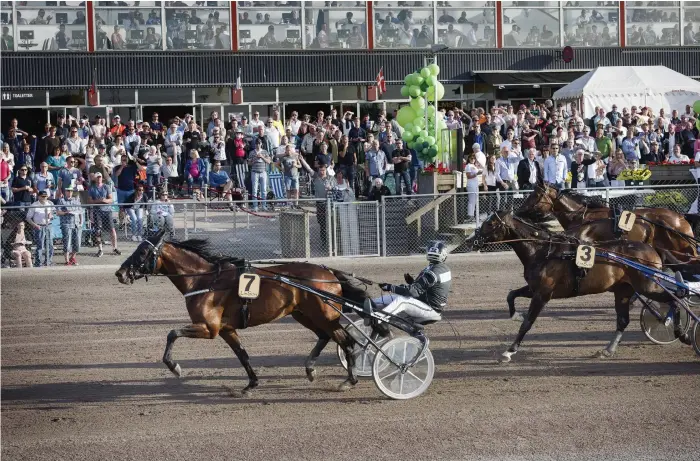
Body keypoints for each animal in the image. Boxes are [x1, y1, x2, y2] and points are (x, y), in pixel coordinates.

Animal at [113, 232, 366, 394]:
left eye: (144, 251)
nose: (120, 273)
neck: (205, 280)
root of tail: (329, 272)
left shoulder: (209, 328)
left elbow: (172, 333)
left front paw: (174, 367)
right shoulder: (226, 329)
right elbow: (242, 355)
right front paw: (251, 384)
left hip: (325, 315)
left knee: (346, 341)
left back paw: (350, 380)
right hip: (303, 314)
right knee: (325, 336)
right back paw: (311, 369)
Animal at [474, 210, 676, 362]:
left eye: (491, 223)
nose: (473, 239)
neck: (544, 251)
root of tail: (652, 249)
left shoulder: (543, 294)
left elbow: (527, 324)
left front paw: (509, 351)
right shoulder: (534, 289)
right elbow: (511, 295)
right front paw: (516, 315)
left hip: (648, 286)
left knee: (674, 298)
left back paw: (671, 321)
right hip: (623, 290)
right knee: (622, 320)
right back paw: (608, 350)